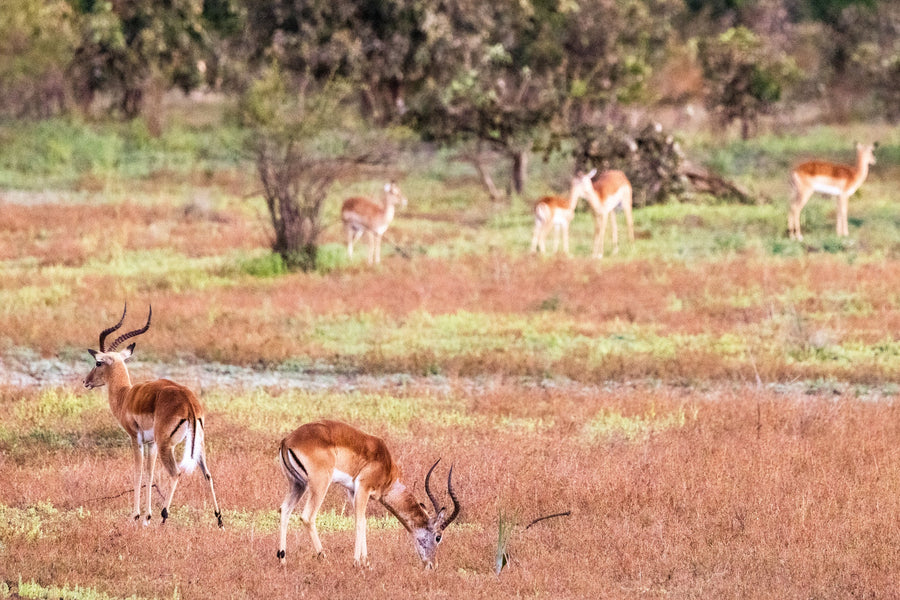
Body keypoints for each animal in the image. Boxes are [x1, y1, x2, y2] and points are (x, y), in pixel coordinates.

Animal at [82, 304, 223, 528]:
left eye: (97, 363)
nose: (85, 381)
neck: (126, 395)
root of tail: (189, 402)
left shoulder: (136, 439)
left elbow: (138, 472)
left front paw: (136, 516)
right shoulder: (151, 443)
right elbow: (150, 473)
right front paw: (146, 517)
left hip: (167, 445)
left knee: (176, 472)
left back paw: (164, 516)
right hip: (197, 445)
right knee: (207, 474)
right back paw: (219, 521)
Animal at [277, 419, 460, 569]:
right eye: (438, 537)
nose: (433, 565)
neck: (386, 467)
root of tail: (288, 440)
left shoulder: (353, 492)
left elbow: (364, 521)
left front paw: (366, 563)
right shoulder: (363, 488)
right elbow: (359, 522)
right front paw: (357, 563)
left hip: (297, 485)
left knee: (285, 509)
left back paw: (282, 559)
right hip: (320, 485)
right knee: (307, 516)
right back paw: (325, 558)